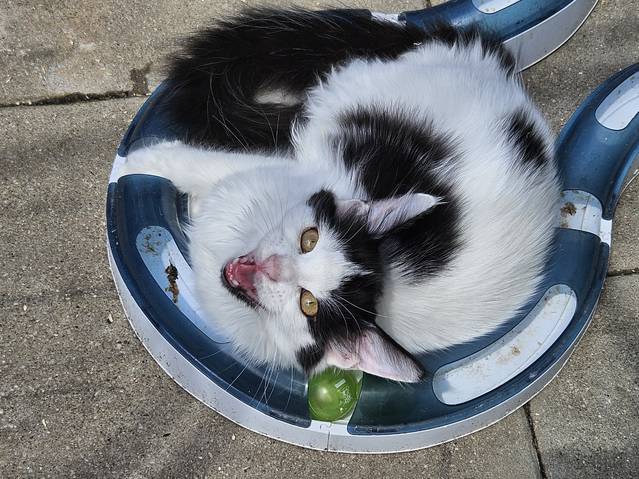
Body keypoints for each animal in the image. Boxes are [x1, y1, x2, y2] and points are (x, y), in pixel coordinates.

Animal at [120, 6, 560, 382]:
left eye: (308, 304)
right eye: (309, 238)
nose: (273, 267)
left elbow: (189, 163)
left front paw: (131, 164)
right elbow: (194, 166)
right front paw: (136, 165)